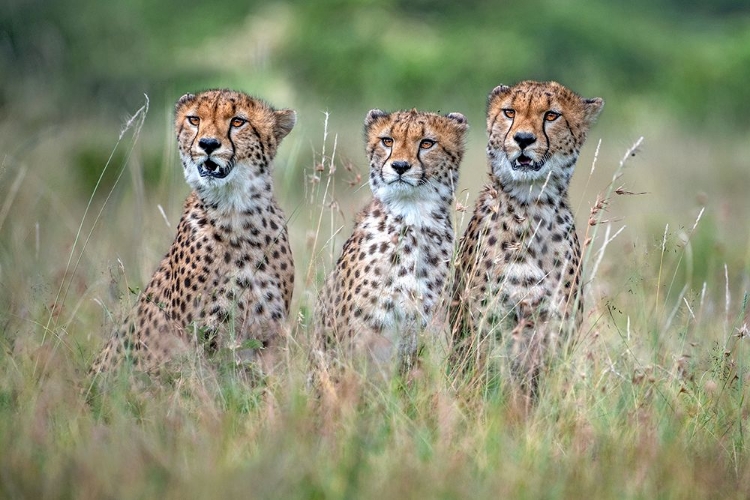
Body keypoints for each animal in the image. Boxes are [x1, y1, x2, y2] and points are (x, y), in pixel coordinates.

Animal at [89, 90, 296, 376]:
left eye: (238, 121)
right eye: (194, 119)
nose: (208, 144)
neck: (236, 210)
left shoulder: (270, 336)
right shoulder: (197, 338)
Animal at [452, 80, 604, 388]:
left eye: (551, 115)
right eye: (509, 112)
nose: (523, 139)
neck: (530, 206)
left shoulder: (555, 330)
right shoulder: (488, 329)